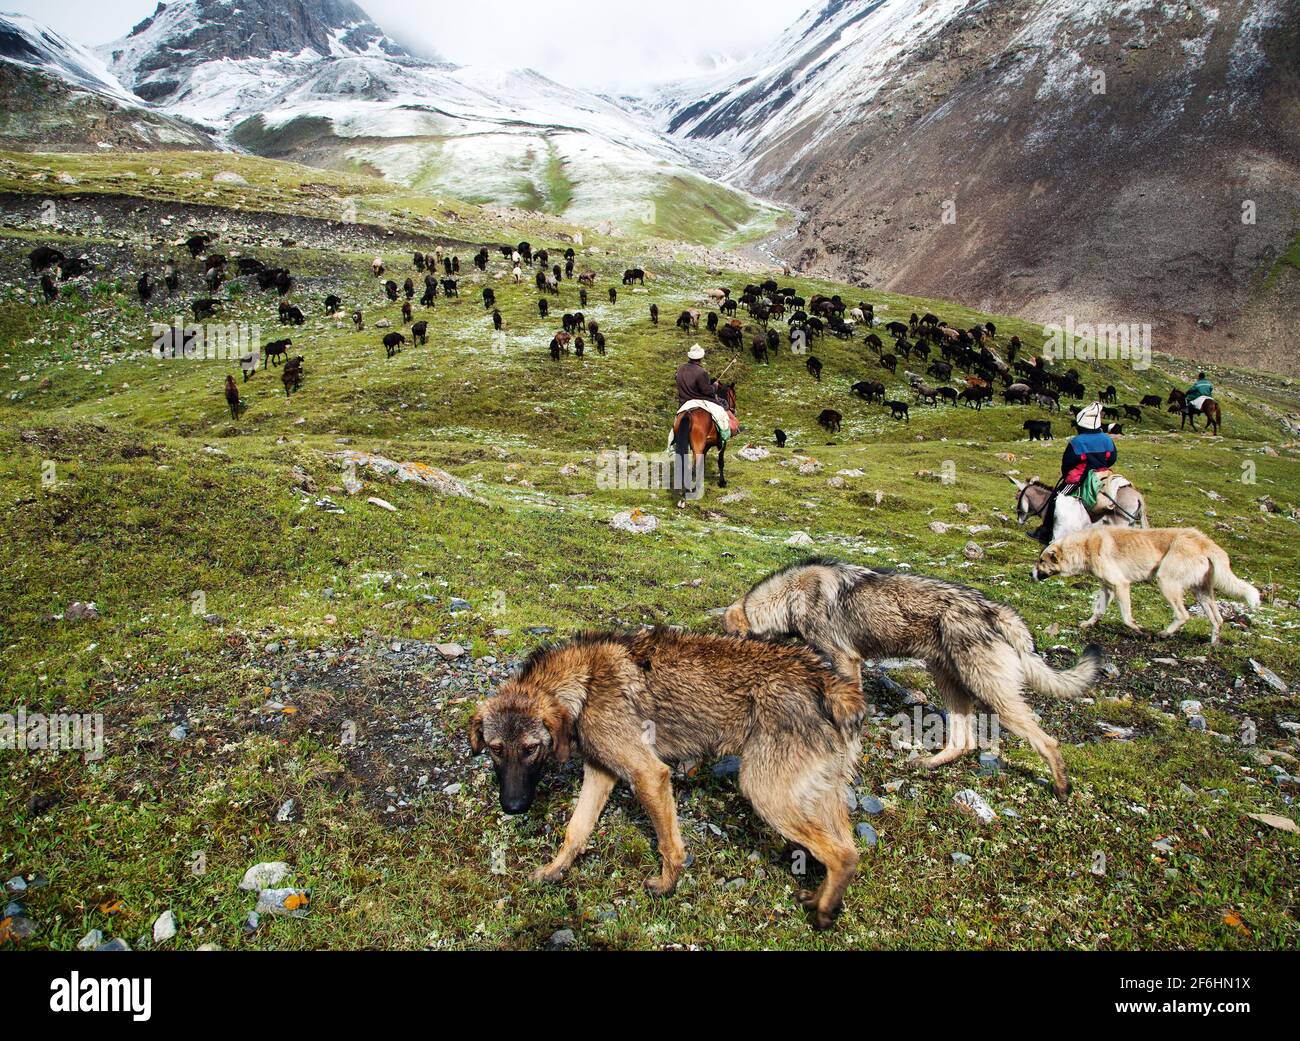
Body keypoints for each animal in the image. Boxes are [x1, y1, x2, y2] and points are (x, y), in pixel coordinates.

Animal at [473, 629, 868, 930]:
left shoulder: (650, 774)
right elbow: (576, 830)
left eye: (530, 749)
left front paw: (667, 884)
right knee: (845, 849)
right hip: (813, 798)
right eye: (495, 749)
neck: (585, 683)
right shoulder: (601, 773)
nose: (513, 807)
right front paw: (555, 870)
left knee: (844, 856)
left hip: (766, 794)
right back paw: (817, 899)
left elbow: (668, 845)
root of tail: (827, 681)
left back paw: (824, 913)